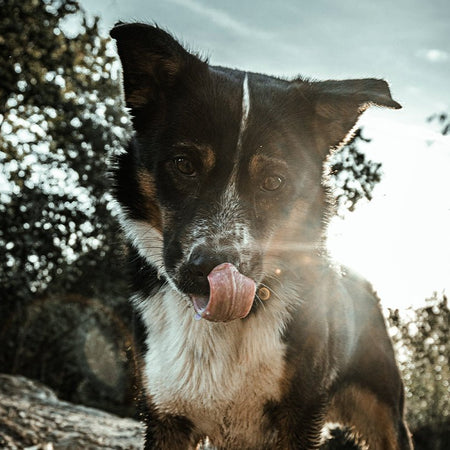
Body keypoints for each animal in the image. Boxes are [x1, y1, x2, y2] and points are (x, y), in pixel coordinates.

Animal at [108, 22, 412, 450]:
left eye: (273, 181)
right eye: (184, 165)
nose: (211, 269)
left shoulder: (298, 415)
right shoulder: (166, 416)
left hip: (384, 412)